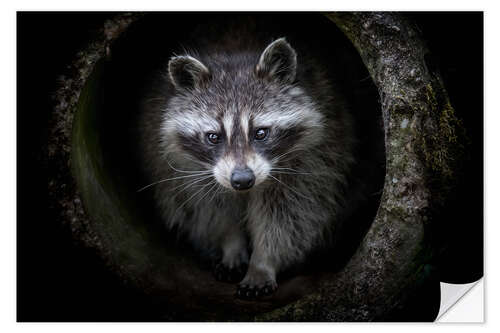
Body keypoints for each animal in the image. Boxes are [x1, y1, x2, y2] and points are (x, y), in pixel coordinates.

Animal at [139, 37, 358, 298]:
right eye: (213, 137)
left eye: (260, 133)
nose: (243, 179)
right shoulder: (184, 171)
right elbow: (210, 210)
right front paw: (231, 245)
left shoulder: (314, 161)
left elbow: (289, 215)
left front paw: (263, 263)